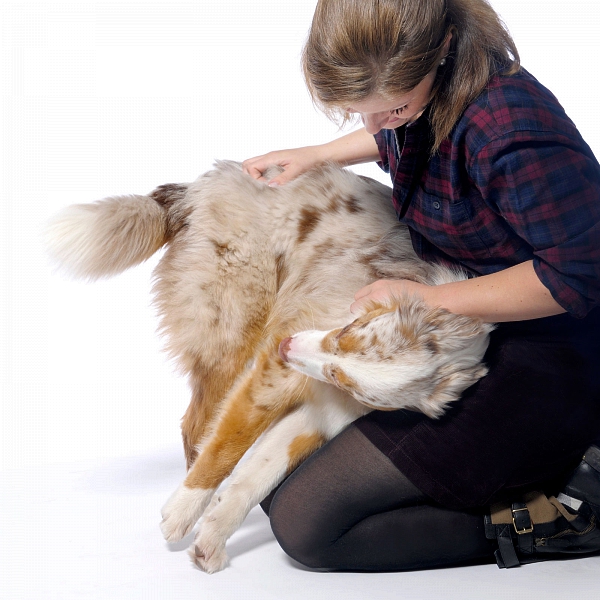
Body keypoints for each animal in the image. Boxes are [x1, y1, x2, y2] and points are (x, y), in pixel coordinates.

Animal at [45, 162, 492, 576]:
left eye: (344, 379)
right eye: (348, 331)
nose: (286, 345)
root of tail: (200, 185)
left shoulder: (321, 415)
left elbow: (256, 476)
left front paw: (212, 538)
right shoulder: (270, 376)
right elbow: (228, 445)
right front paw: (182, 513)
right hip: (235, 332)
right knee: (196, 427)